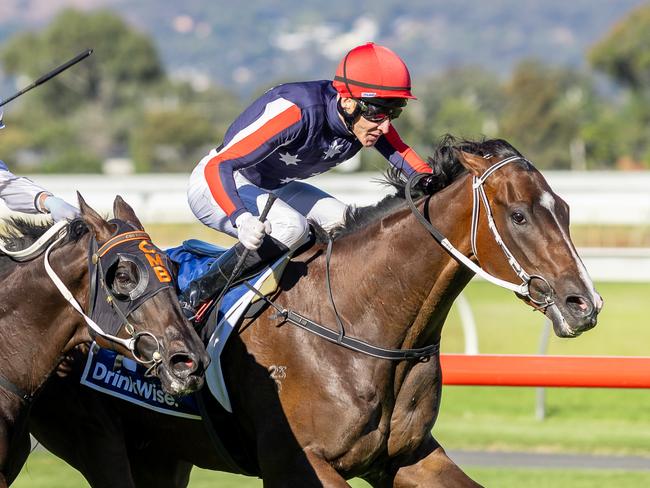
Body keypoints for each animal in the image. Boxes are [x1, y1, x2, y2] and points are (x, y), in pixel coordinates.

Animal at [29, 138, 596, 488]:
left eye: (566, 209)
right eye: (518, 216)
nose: (584, 305)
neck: (359, 323)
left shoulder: (406, 456)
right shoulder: (296, 463)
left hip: (161, 454)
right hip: (99, 441)